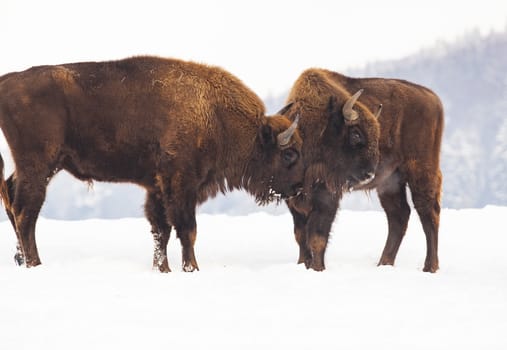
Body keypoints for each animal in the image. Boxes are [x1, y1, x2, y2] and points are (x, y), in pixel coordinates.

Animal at [0, 56, 306, 272]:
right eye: (289, 155)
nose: (300, 188)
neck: (216, 115)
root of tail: (8, 81)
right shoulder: (181, 184)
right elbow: (187, 229)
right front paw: (192, 268)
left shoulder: (157, 187)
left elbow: (162, 230)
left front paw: (163, 269)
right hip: (39, 165)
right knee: (26, 212)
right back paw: (35, 264)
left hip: (40, 167)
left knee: (13, 199)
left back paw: (21, 260)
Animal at [284, 67, 442, 272]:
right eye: (356, 134)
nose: (369, 174)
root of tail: (432, 97)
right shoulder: (294, 200)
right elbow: (300, 236)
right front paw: (303, 264)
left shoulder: (327, 197)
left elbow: (317, 237)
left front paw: (318, 268)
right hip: (390, 182)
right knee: (399, 215)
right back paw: (384, 263)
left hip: (420, 171)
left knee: (428, 212)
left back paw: (429, 267)